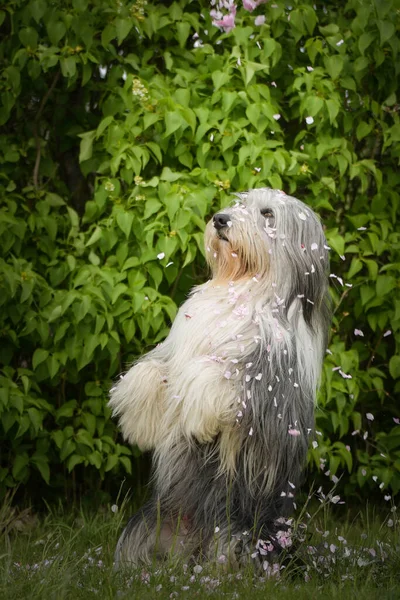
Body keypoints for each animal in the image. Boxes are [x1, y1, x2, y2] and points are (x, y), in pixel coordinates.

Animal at [109, 186, 332, 568]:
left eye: (267, 214)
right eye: (240, 204)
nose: (220, 219)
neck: (243, 286)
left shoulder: (270, 388)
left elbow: (220, 372)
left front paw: (197, 415)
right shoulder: (181, 342)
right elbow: (156, 368)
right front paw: (135, 417)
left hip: (237, 536)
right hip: (144, 528)